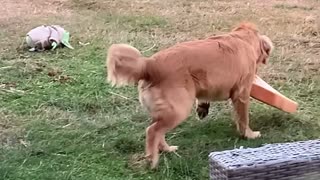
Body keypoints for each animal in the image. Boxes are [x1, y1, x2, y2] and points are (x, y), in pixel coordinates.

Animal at [105, 22, 272, 169]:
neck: (242, 39)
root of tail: (149, 65)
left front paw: (203, 108)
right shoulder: (242, 94)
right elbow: (243, 119)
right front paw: (249, 134)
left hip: (164, 112)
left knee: (157, 131)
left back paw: (167, 149)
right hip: (179, 110)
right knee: (152, 131)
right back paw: (153, 160)